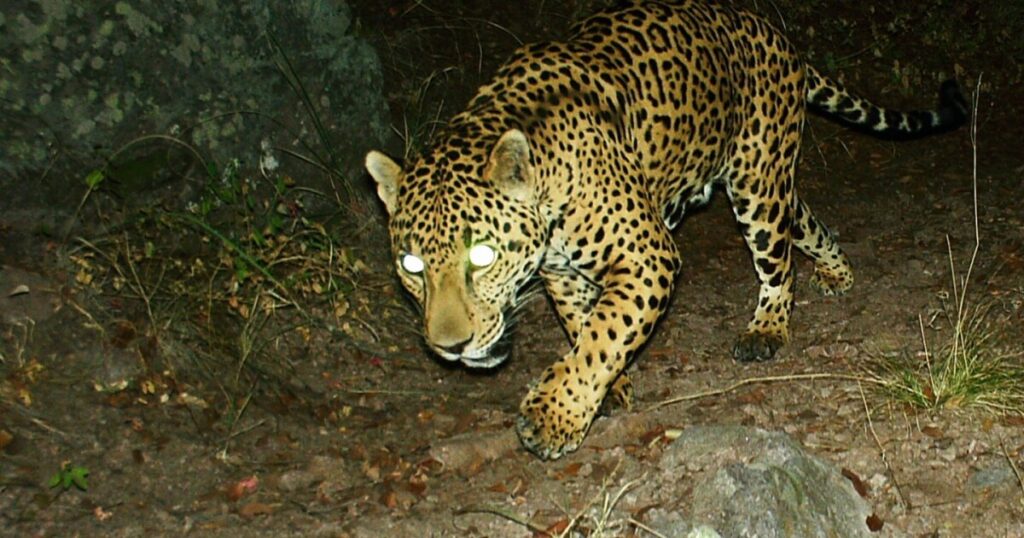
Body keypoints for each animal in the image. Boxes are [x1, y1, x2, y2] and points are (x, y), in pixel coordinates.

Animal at [365, 0, 968, 460]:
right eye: (411, 266)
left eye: (483, 256)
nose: (450, 347)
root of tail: (771, 31)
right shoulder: (562, 274)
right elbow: (585, 326)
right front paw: (603, 390)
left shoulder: (646, 255)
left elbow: (604, 334)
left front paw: (554, 417)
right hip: (770, 180)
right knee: (806, 220)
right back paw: (838, 272)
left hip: (756, 184)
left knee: (777, 262)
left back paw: (767, 329)